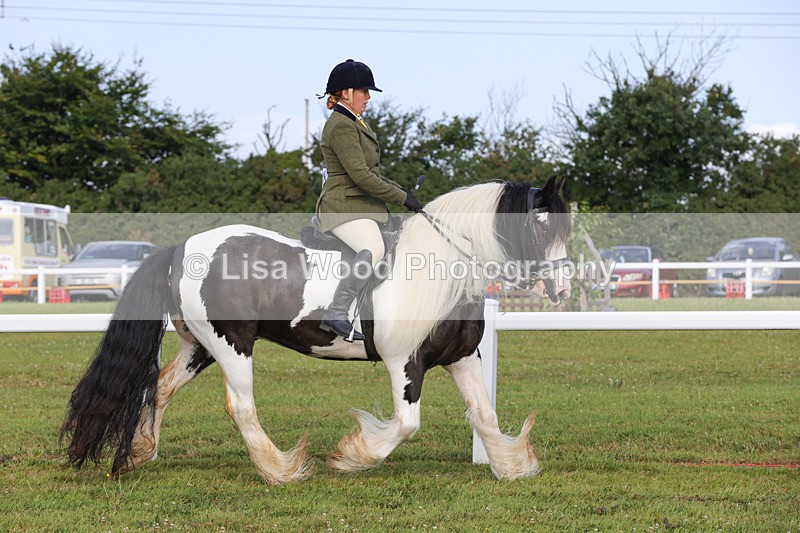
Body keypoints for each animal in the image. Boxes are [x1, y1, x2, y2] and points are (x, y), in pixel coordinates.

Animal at [61, 176, 572, 484]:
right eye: (542, 226)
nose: (564, 287)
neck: (443, 268)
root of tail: (180, 247)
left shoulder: (462, 357)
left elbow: (485, 415)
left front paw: (512, 465)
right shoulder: (404, 362)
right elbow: (407, 424)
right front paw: (353, 454)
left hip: (199, 346)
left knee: (160, 387)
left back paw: (139, 452)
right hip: (232, 343)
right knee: (240, 406)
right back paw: (280, 469)